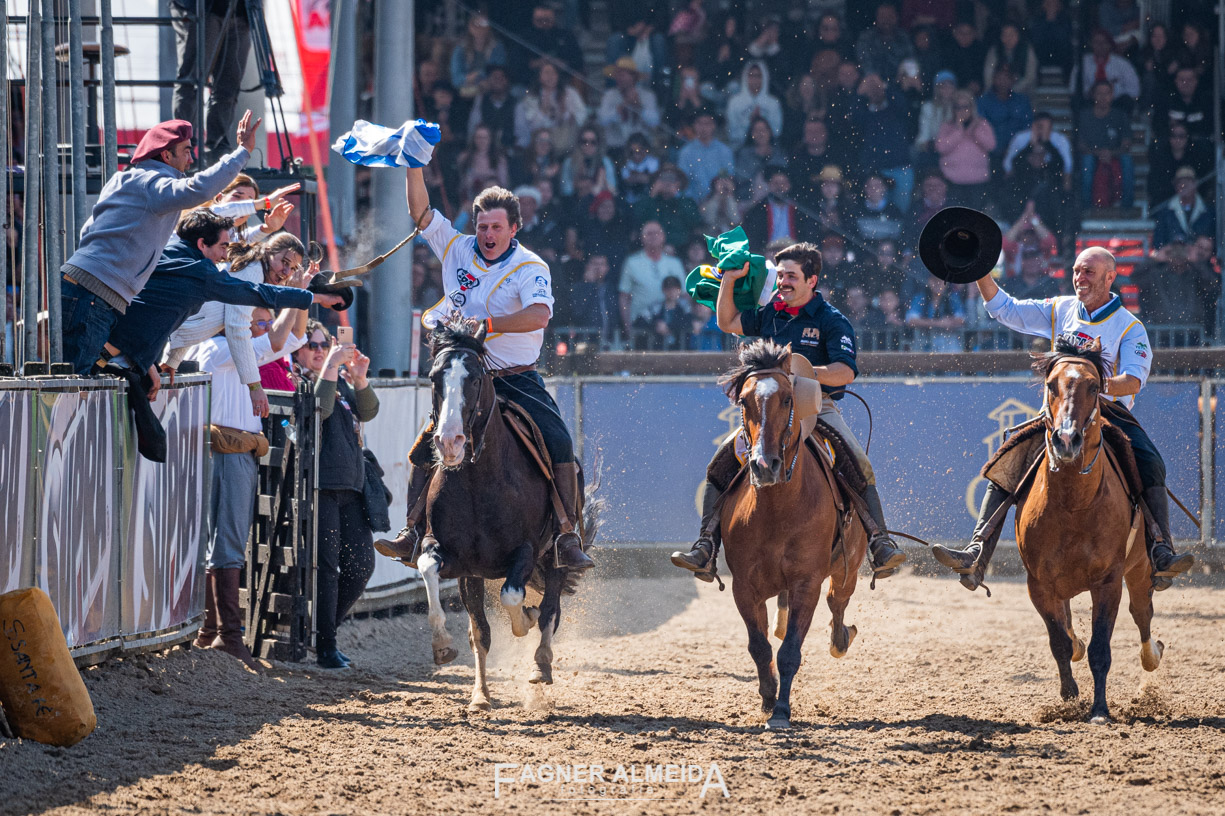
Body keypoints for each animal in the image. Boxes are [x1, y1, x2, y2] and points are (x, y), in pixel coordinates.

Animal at [416, 313, 597, 710]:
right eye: (435, 377)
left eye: (475, 377)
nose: (449, 442)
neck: (478, 481)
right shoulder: (453, 559)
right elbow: (432, 575)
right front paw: (444, 648)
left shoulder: (526, 551)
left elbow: (514, 598)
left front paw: (525, 620)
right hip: (473, 575)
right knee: (481, 631)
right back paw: (481, 694)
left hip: (556, 557)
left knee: (550, 611)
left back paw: (540, 665)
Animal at [715, 340, 862, 725]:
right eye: (744, 401)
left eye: (787, 399)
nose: (765, 465)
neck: (776, 511)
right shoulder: (743, 586)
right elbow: (760, 645)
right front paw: (768, 697)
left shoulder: (806, 583)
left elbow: (790, 650)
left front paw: (781, 710)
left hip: (849, 568)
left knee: (837, 602)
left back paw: (841, 638)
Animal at [1019, 335, 1161, 720]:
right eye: (1051, 384)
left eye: (1095, 386)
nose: (1067, 440)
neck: (1073, 506)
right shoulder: (1038, 583)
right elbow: (1059, 642)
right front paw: (1069, 697)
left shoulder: (1108, 581)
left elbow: (1101, 649)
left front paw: (1099, 710)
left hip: (1140, 568)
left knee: (1142, 615)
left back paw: (1152, 655)